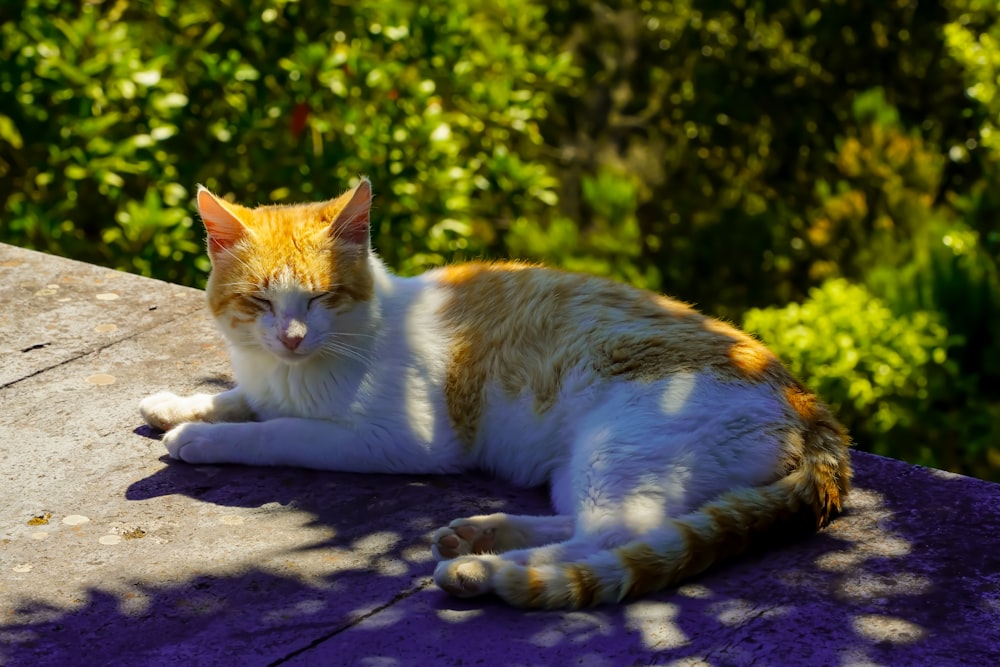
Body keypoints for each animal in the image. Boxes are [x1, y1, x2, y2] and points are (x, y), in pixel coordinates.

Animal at [139, 177, 852, 612]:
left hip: (623, 443)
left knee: (619, 535)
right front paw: (179, 405)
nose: (291, 336)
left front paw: (202, 438)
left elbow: (280, 431)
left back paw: (481, 570)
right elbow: (244, 398)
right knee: (596, 524)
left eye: (320, 298)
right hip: (582, 464)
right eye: (261, 301)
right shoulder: (266, 379)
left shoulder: (400, 439)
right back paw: (478, 534)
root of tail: (815, 414)